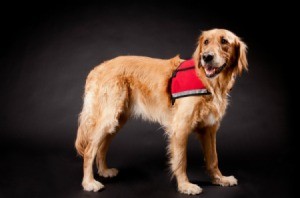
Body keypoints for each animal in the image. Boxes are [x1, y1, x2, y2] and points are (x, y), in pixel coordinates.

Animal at [74, 28, 247, 194]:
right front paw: (185, 186)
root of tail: (98, 67)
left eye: (224, 41)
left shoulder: (209, 129)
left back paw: (104, 170)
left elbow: (213, 159)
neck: (209, 82)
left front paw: (220, 179)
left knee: (102, 145)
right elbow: (181, 160)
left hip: (117, 119)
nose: (207, 57)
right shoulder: (180, 127)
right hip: (110, 116)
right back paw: (89, 183)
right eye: (206, 42)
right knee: (89, 149)